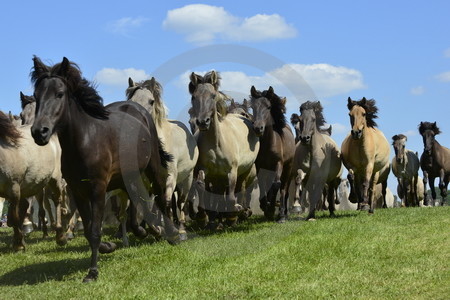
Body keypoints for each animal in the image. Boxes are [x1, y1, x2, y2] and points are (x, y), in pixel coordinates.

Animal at [0, 110, 67, 251]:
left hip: (54, 179)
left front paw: (19, 245)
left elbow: (14, 216)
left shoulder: (13, 187)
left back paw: (60, 235)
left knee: (57, 200)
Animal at [29, 56, 174, 284]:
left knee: (159, 192)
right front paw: (109, 246)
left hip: (152, 166)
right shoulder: (78, 191)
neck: (85, 141)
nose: (39, 132)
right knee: (136, 198)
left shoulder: (98, 188)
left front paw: (92, 272)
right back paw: (145, 230)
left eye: (59, 94)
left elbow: (96, 230)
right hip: (127, 174)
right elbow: (89, 230)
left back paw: (172, 233)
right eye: (36, 95)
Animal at [189, 71, 260, 230]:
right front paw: (202, 217)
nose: (203, 122)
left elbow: (232, 196)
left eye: (213, 95)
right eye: (194, 97)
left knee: (241, 189)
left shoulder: (231, 171)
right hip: (217, 178)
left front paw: (234, 214)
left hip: (244, 171)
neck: (216, 144)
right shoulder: (203, 170)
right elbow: (200, 186)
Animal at [250, 85, 296, 221]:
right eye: (253, 107)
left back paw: (282, 214)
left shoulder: (278, 164)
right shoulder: (260, 165)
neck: (268, 144)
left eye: (268, 107)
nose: (258, 128)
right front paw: (265, 207)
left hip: (288, 168)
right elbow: (262, 185)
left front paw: (271, 210)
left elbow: (276, 185)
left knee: (284, 188)